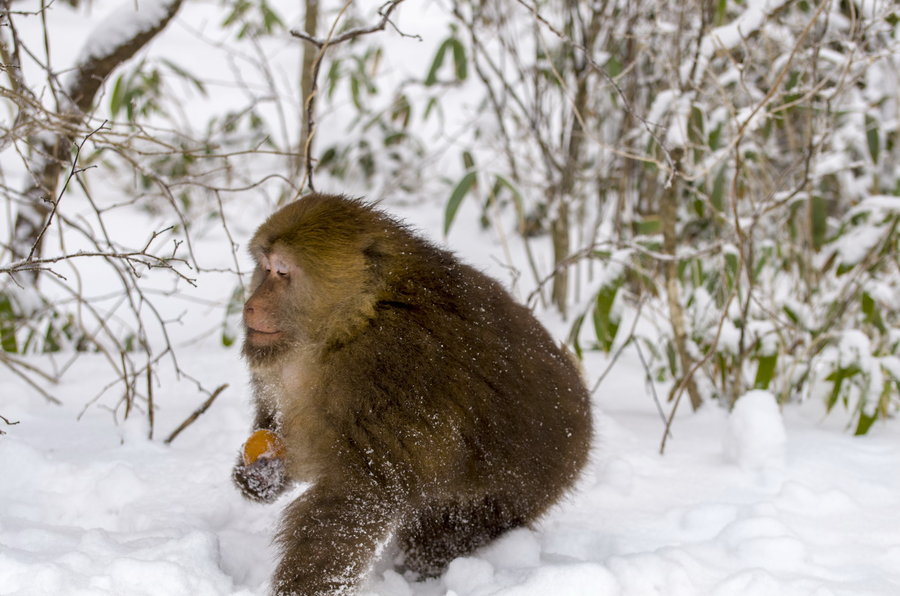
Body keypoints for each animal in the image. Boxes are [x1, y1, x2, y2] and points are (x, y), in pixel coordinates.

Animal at [234, 193, 592, 592]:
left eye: (282, 272)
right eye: (264, 267)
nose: (250, 305)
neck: (349, 326)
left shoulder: (390, 372)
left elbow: (358, 496)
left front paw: (305, 588)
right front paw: (261, 475)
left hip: (519, 488)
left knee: (443, 533)